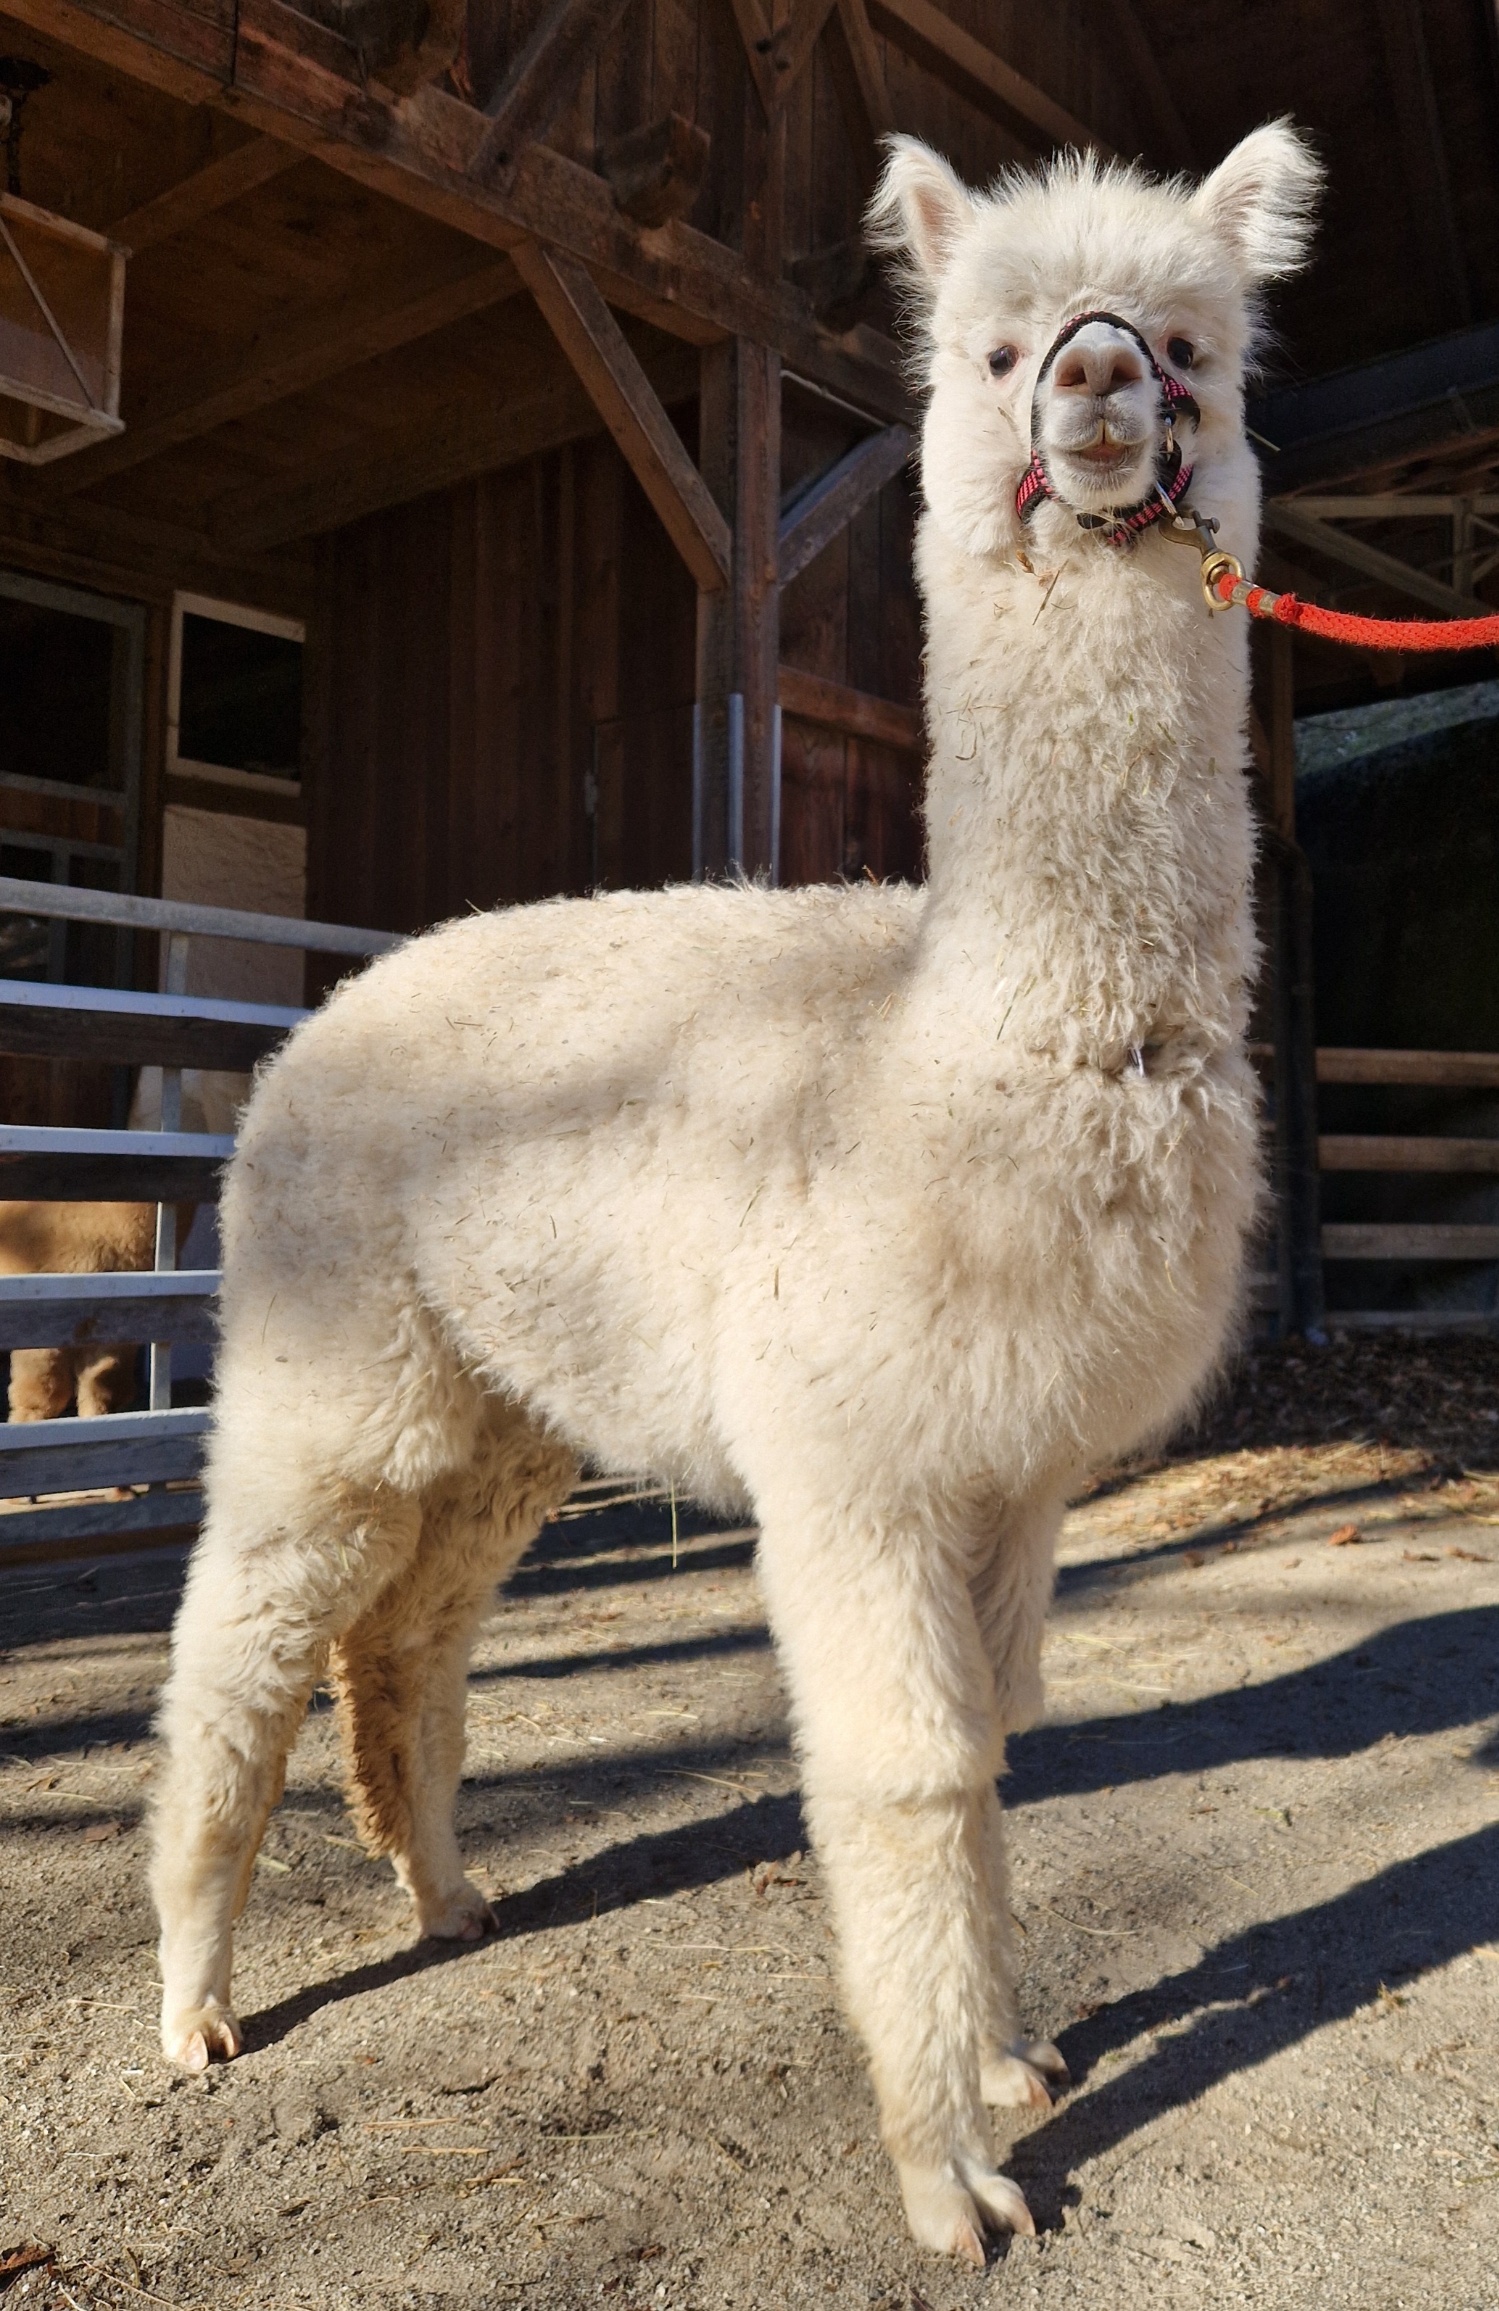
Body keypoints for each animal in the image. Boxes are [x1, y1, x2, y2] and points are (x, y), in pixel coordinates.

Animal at [149, 121, 1320, 2259]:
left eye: (1190, 343)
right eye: (997, 343)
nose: (1096, 383)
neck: (953, 1051)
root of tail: (321, 1010)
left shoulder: (1012, 1469)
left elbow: (996, 1742)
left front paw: (1011, 2060)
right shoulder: (852, 1462)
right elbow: (909, 1774)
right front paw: (950, 2171)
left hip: (510, 1399)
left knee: (409, 1632)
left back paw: (445, 1890)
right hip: (322, 1368)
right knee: (247, 1642)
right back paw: (194, 1999)